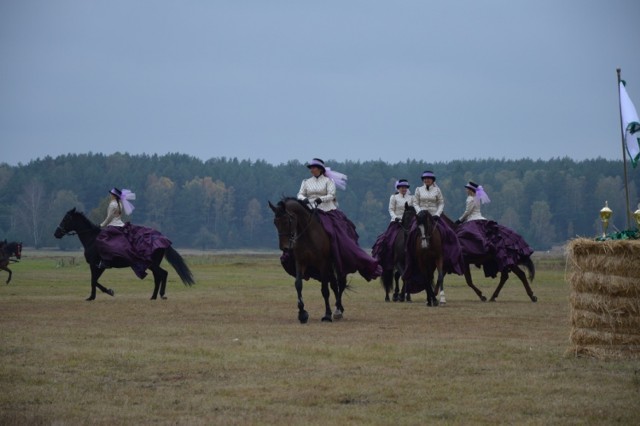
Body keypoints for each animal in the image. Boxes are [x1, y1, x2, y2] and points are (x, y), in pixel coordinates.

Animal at [53, 208, 194, 302]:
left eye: (66, 219)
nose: (56, 233)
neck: (92, 239)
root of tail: (162, 239)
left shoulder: (96, 265)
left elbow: (94, 281)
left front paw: (104, 293)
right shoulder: (98, 266)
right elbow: (94, 281)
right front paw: (95, 296)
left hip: (152, 264)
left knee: (163, 274)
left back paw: (161, 295)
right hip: (152, 265)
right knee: (158, 276)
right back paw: (154, 296)